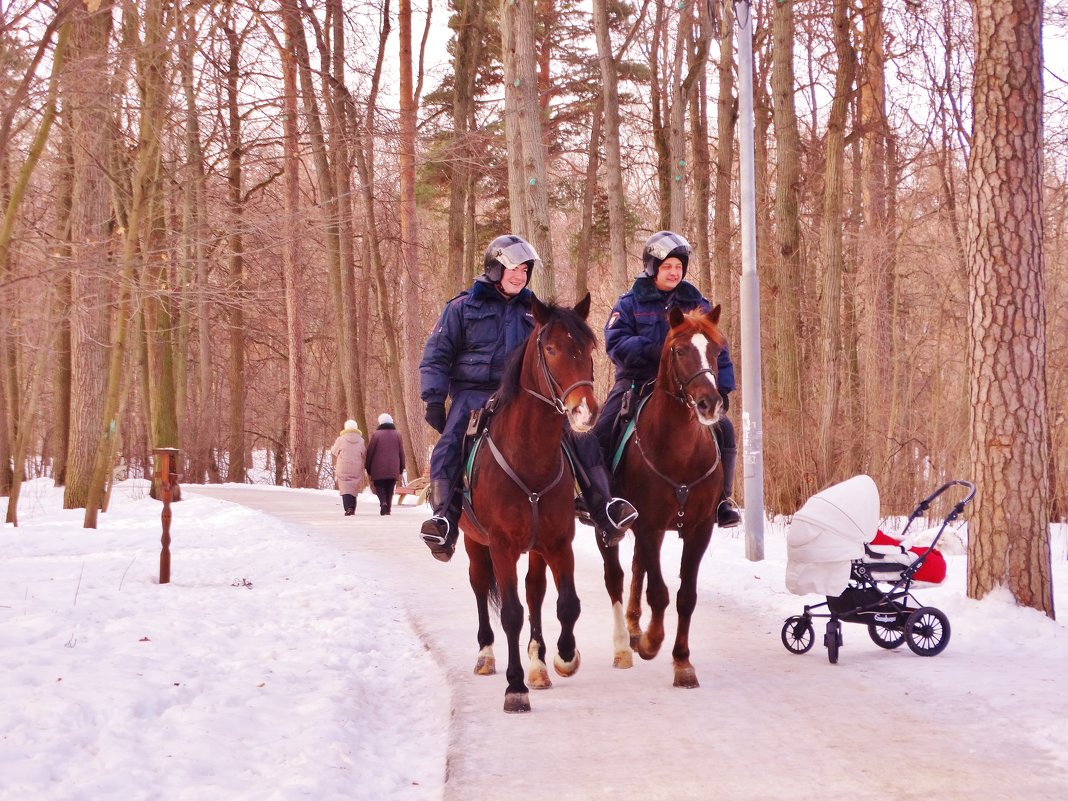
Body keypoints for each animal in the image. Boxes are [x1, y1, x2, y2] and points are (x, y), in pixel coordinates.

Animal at [461, 294, 602, 713]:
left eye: (589, 348)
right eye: (551, 349)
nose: (585, 411)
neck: (530, 456)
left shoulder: (557, 542)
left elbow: (567, 603)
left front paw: (564, 657)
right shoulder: (502, 546)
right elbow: (511, 613)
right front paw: (514, 687)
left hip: (536, 548)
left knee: (536, 591)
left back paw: (538, 665)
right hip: (475, 543)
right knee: (480, 586)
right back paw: (486, 656)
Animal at [602, 307, 726, 692]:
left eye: (717, 350)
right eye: (679, 350)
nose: (710, 404)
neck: (681, 451)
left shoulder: (700, 529)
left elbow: (686, 596)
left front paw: (682, 662)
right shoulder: (649, 524)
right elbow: (659, 592)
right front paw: (652, 642)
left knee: (638, 567)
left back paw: (633, 626)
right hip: (611, 527)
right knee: (616, 576)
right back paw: (624, 644)